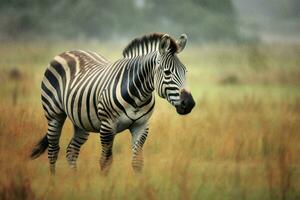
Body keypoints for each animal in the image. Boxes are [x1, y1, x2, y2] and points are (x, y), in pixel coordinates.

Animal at [30, 32, 195, 173]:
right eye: (167, 72)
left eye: (185, 71)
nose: (189, 104)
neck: (138, 96)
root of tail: (67, 52)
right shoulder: (107, 127)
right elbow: (106, 161)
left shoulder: (141, 126)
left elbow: (137, 162)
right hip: (53, 114)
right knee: (53, 150)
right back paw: (53, 182)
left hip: (81, 121)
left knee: (71, 150)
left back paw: (74, 180)